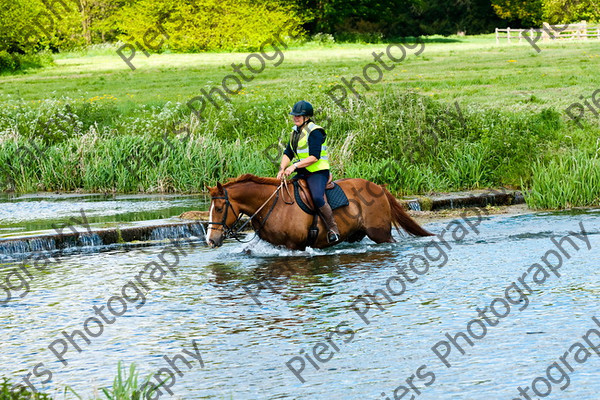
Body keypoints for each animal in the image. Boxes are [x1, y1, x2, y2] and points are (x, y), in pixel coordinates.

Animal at [205, 174, 432, 250]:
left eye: (219, 208)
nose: (210, 240)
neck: (271, 204)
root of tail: (379, 187)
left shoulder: (293, 246)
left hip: (380, 233)